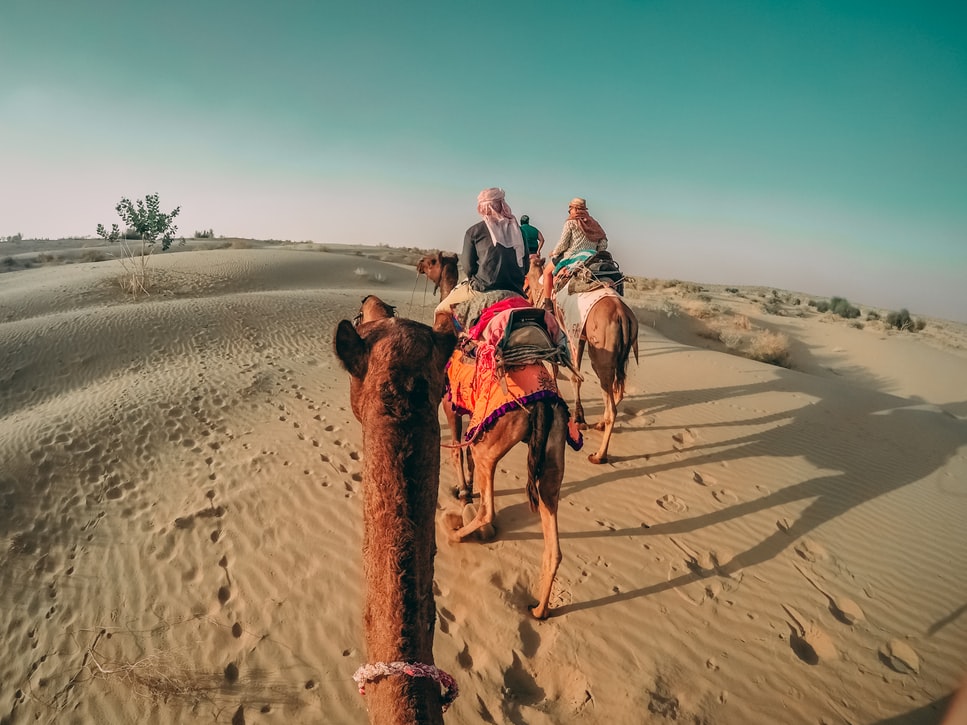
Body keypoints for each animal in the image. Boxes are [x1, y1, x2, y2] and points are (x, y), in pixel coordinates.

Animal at [524, 255, 640, 464]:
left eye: (526, 278)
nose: (525, 292)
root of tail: (622, 315)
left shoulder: (567, 334)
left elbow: (569, 374)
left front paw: (578, 418)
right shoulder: (579, 337)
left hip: (601, 356)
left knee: (611, 403)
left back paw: (599, 455)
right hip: (621, 356)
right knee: (618, 389)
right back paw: (600, 425)